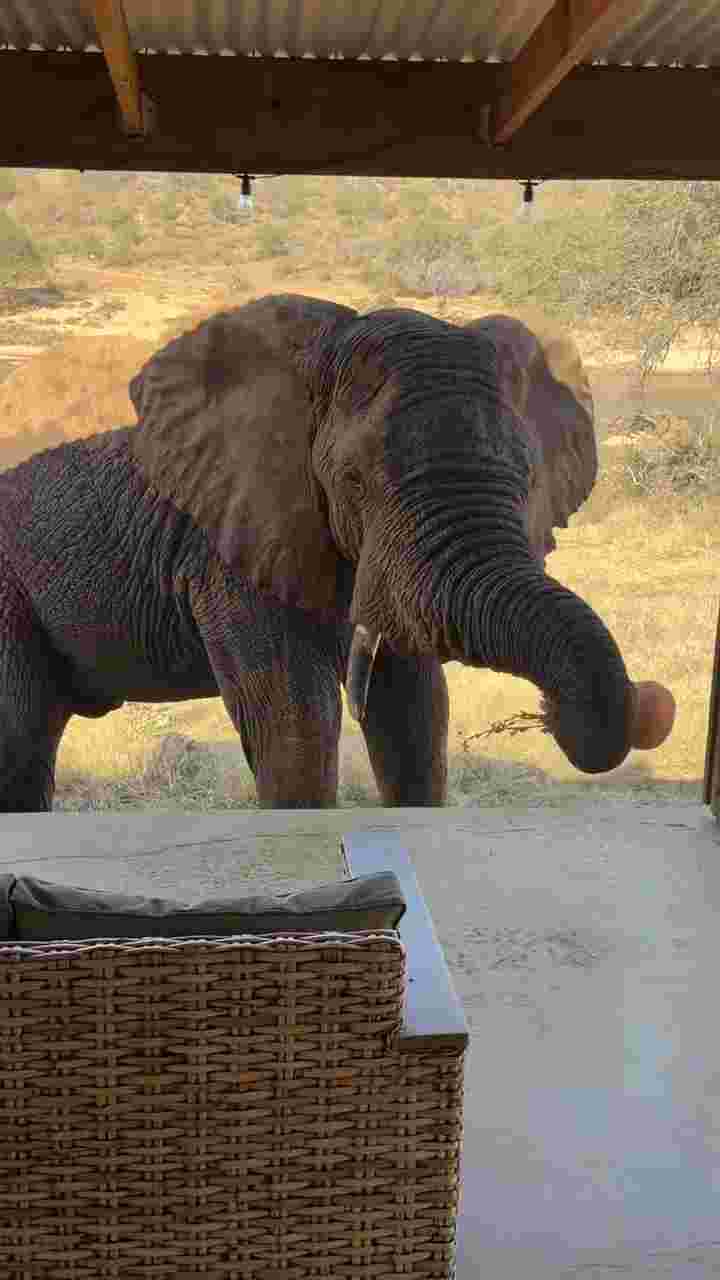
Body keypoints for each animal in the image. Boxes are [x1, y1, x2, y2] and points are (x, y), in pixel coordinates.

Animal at [0, 292, 674, 811]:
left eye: (527, 479)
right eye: (352, 481)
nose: (550, 713)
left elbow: (415, 717)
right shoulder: (231, 557)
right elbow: (297, 725)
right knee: (20, 744)